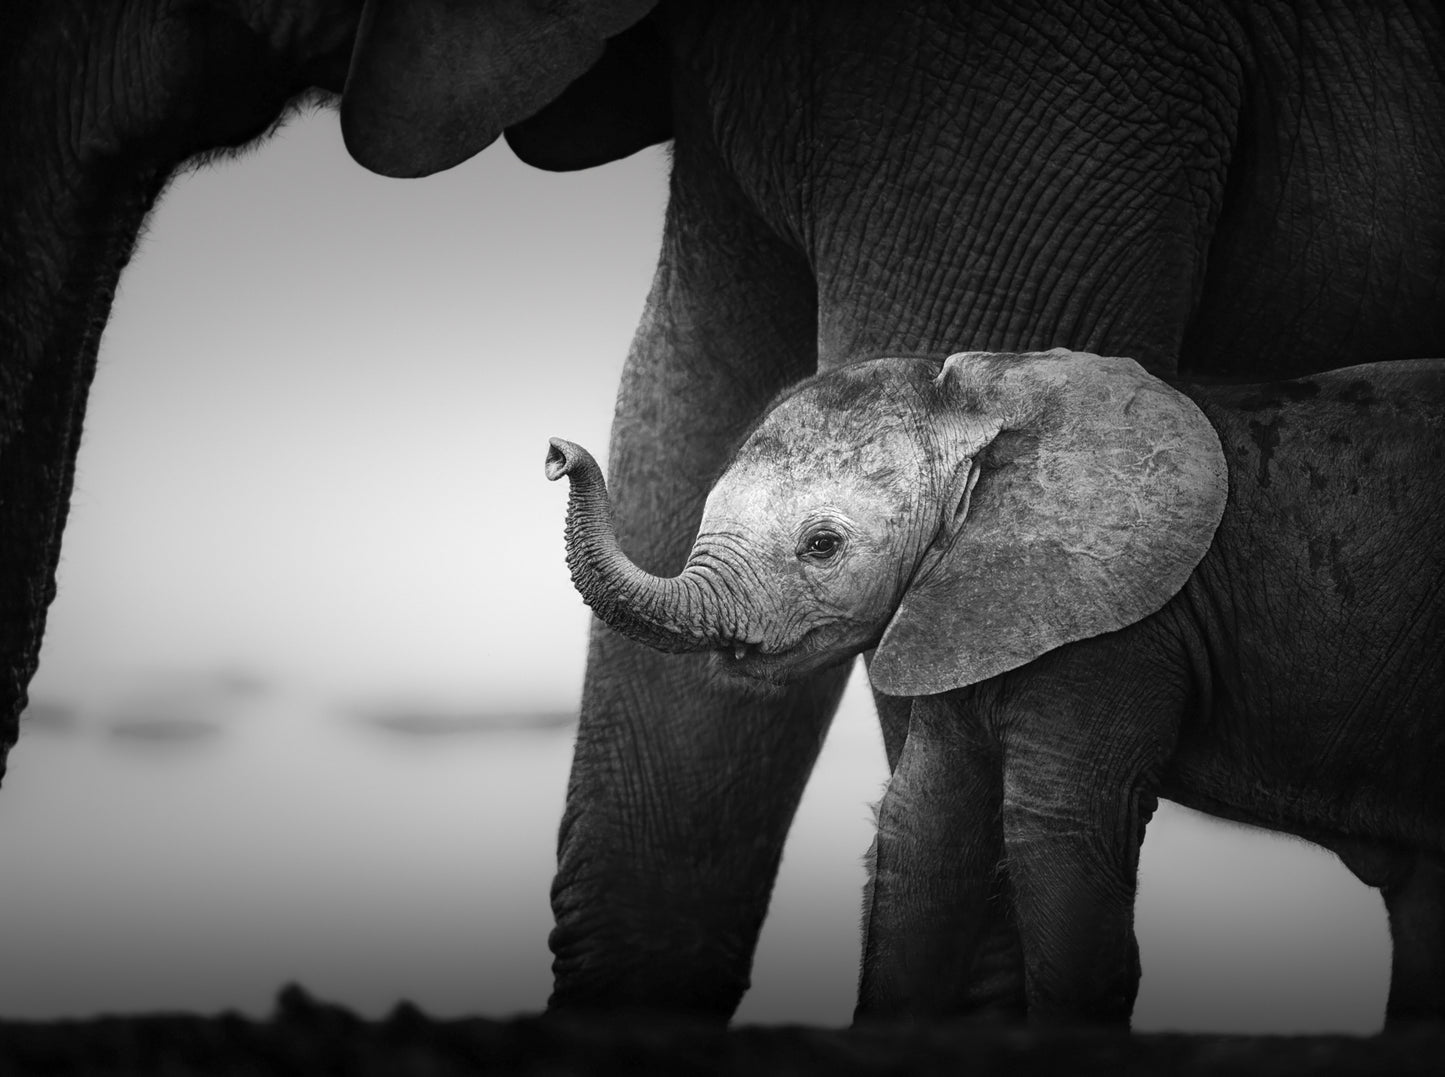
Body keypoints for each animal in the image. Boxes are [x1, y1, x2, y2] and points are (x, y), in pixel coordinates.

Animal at [545, 348, 1445, 1025]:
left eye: (823, 545)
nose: (557, 453)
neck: (991, 407)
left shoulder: (1119, 627)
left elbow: (1055, 827)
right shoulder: (968, 603)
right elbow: (923, 824)